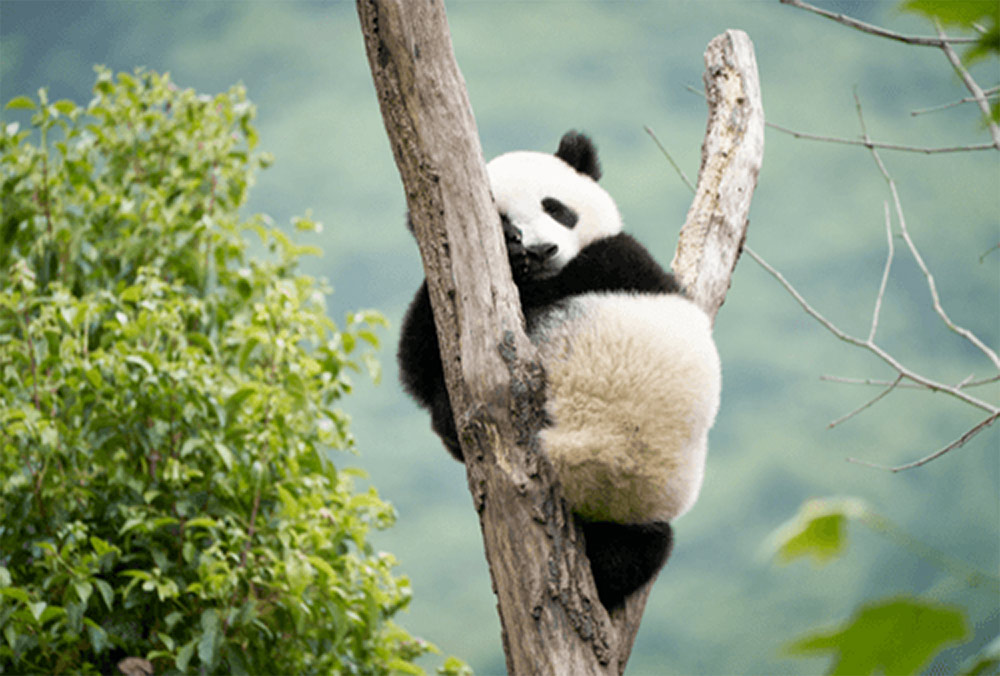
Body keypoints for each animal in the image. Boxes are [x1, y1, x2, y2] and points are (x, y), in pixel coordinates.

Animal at [397, 131, 721, 610]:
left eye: (555, 207)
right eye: (504, 223)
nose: (540, 249)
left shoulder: (619, 261)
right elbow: (417, 363)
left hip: (638, 499)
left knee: (636, 552)